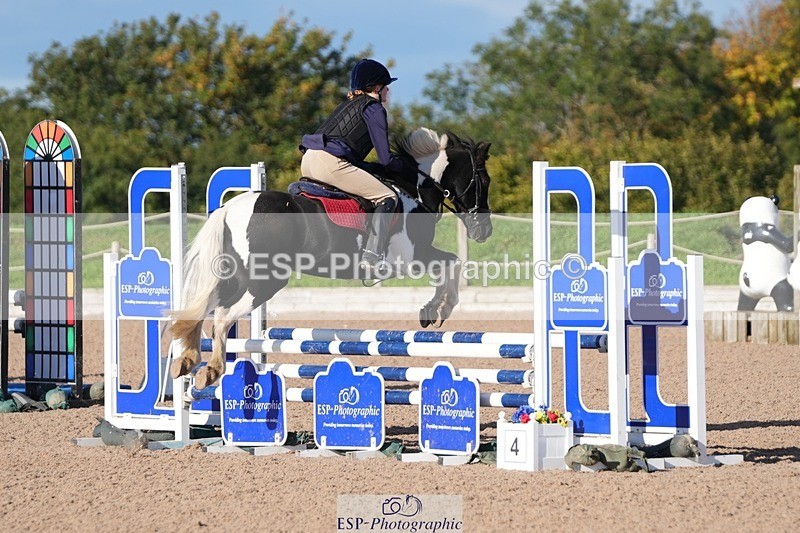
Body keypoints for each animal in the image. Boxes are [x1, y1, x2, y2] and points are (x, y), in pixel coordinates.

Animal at [169, 127, 494, 389]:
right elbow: (451, 262)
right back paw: (211, 369)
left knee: (202, 307)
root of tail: (230, 208)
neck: (415, 191)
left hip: (233, 276)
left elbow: (450, 263)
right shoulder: (411, 258)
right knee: (222, 316)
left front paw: (432, 310)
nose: (485, 231)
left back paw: (187, 360)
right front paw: (437, 309)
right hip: (263, 281)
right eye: (484, 179)